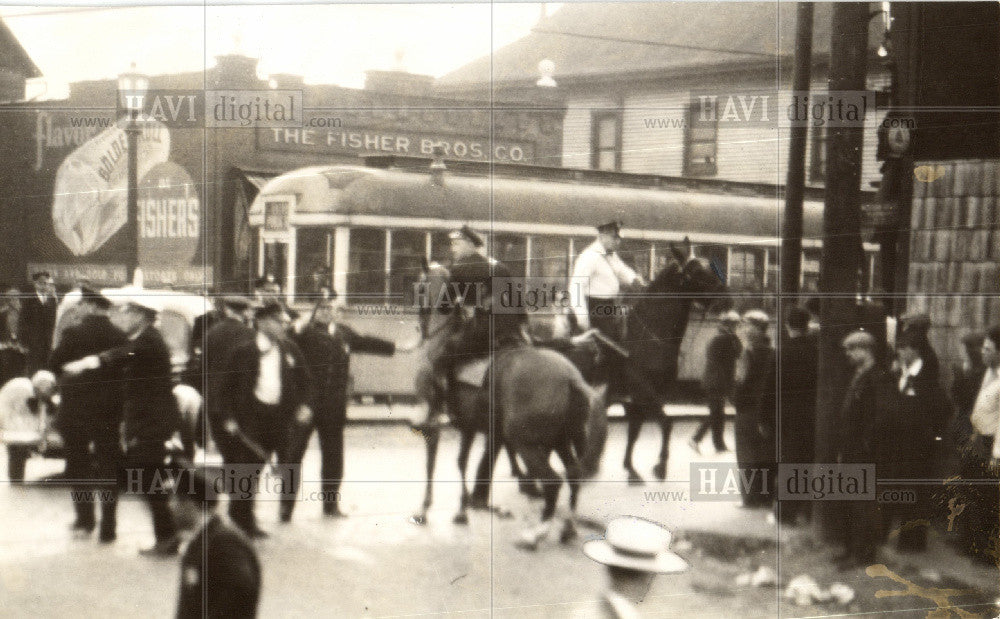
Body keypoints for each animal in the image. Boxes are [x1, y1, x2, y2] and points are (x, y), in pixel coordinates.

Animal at [616, 237, 728, 484]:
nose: (726, 300)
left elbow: (635, 430)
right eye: (696, 271)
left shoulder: (647, 395)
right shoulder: (644, 391)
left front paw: (631, 468)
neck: (650, 334)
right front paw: (661, 466)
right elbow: (667, 424)